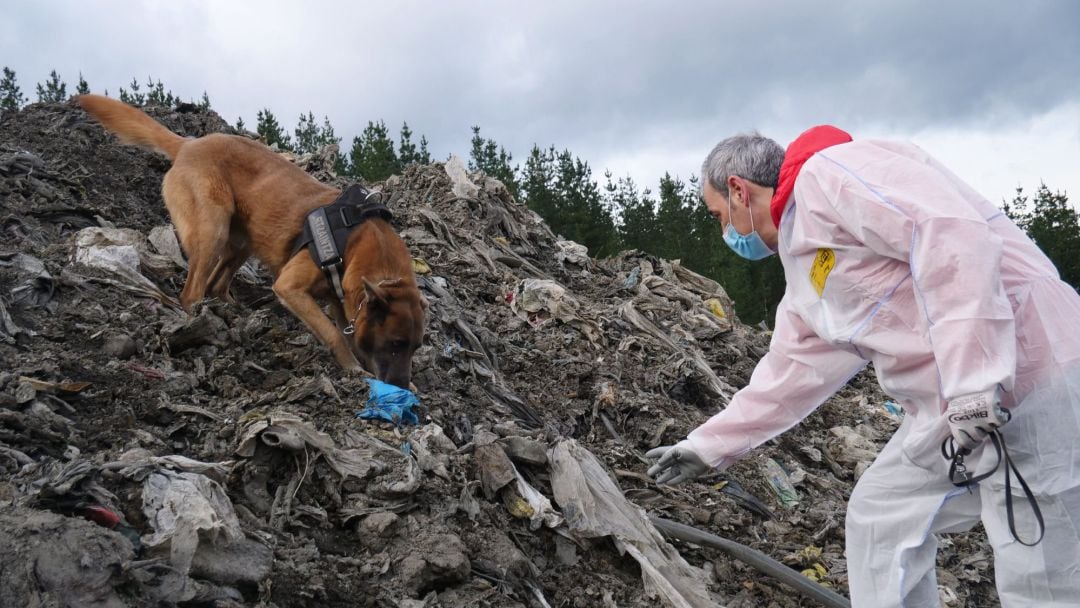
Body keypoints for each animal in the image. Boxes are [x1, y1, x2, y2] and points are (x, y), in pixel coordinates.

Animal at [78, 95, 423, 390]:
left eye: (415, 347)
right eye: (395, 344)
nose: (402, 386)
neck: (355, 241)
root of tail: (188, 144)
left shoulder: (343, 303)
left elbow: (347, 331)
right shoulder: (291, 288)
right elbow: (332, 334)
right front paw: (353, 368)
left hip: (243, 240)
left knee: (216, 284)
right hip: (213, 229)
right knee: (192, 291)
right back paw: (201, 321)